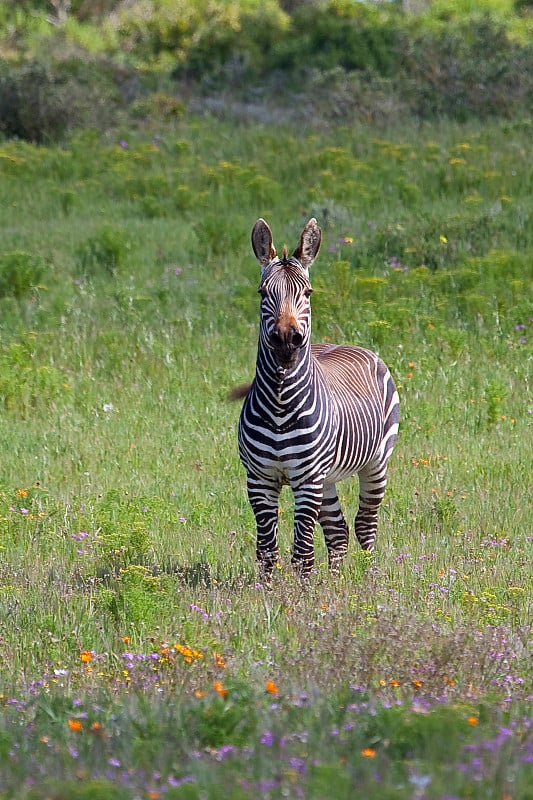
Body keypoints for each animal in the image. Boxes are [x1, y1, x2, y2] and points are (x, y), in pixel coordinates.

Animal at [237, 217, 400, 580]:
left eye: (307, 292)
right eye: (262, 293)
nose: (287, 339)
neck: (280, 403)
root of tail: (343, 342)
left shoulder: (307, 480)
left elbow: (302, 553)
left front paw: (302, 594)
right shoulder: (259, 479)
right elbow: (266, 551)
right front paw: (267, 592)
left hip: (376, 462)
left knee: (365, 525)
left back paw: (367, 582)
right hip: (327, 478)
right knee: (338, 531)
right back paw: (335, 584)